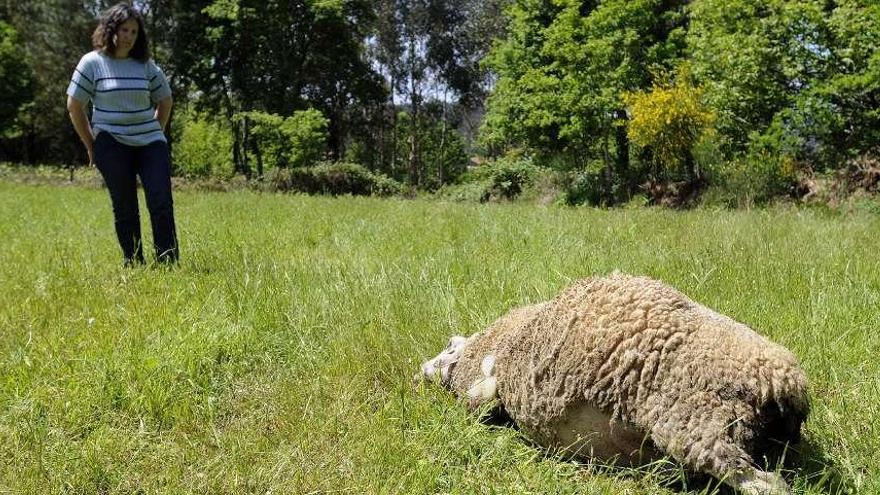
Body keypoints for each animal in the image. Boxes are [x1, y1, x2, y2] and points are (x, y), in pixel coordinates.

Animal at [420, 276, 812, 495]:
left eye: (447, 348)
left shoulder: (493, 376)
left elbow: (481, 394)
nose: (420, 371)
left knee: (770, 486)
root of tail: (782, 383)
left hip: (696, 425)